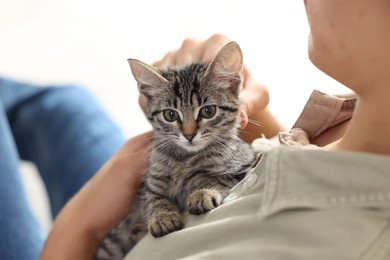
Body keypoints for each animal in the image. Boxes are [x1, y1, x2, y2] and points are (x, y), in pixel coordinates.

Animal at [96, 41, 258, 258]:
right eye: (170, 115)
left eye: (208, 111)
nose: (189, 135)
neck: (185, 158)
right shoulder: (151, 184)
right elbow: (154, 199)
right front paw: (162, 216)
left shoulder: (242, 165)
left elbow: (217, 177)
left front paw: (202, 193)